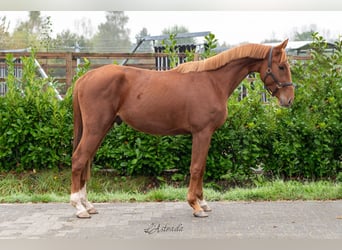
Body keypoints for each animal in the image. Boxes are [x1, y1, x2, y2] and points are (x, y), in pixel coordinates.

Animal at [69, 40, 294, 218]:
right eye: (282, 66)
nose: (289, 100)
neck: (213, 82)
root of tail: (85, 78)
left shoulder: (205, 134)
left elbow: (201, 168)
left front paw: (202, 202)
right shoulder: (202, 133)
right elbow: (196, 167)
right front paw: (196, 206)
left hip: (101, 129)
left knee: (86, 162)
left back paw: (87, 205)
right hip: (96, 129)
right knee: (79, 159)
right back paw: (78, 207)